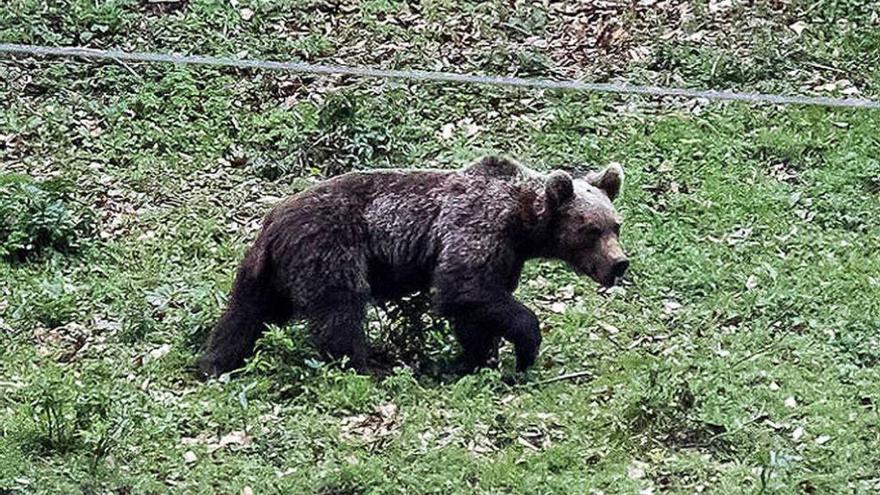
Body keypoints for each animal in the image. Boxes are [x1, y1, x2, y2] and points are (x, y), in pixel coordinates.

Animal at [198, 157, 624, 378]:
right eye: (591, 229)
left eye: (615, 224)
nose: (619, 264)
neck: (522, 222)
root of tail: (272, 220)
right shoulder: (475, 226)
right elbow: (462, 288)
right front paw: (524, 348)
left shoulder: (504, 255)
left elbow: (475, 307)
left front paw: (477, 359)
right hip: (330, 249)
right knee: (340, 310)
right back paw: (360, 366)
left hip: (268, 271)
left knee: (246, 313)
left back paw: (213, 362)